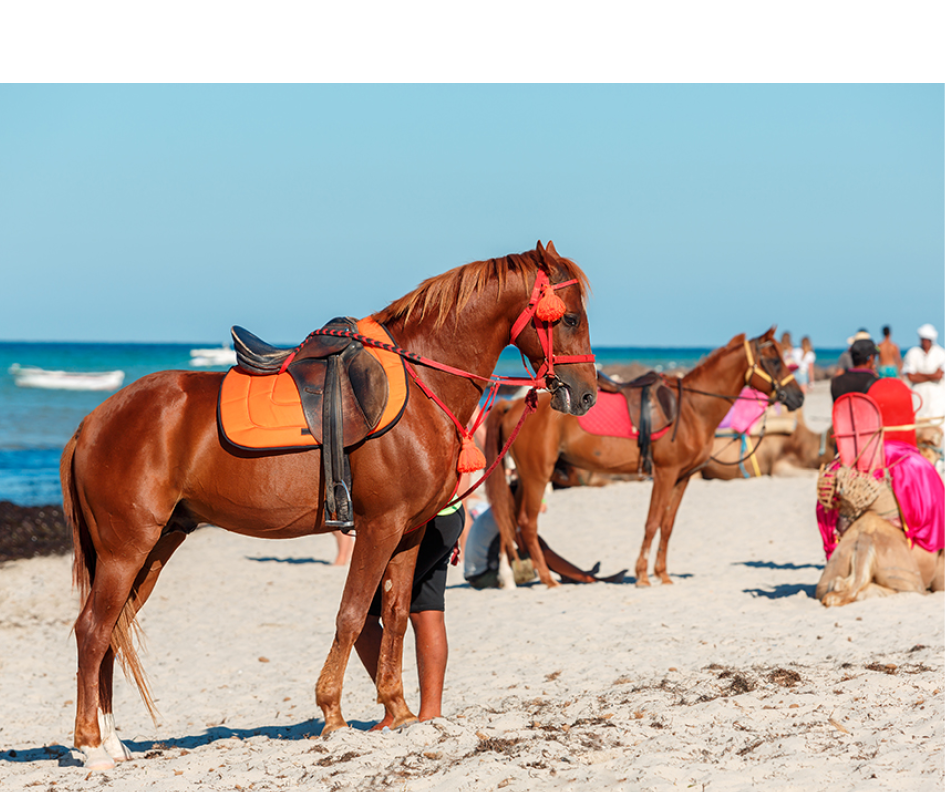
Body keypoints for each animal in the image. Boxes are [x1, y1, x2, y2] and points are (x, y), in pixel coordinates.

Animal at [60, 241, 598, 770]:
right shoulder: (380, 527)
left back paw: (111, 741)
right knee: (92, 630)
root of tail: (91, 423)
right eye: (569, 318)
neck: (420, 386)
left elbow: (395, 614)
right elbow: (353, 613)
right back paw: (90, 745)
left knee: (112, 630)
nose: (586, 395)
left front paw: (400, 712)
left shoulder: (408, 532)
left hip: (154, 548)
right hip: (126, 550)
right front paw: (333, 714)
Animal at [483, 328, 804, 588]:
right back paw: (547, 579)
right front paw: (642, 575)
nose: (798, 397)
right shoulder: (664, 473)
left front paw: (662, 573)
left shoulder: (683, 478)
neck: (691, 410)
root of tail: (513, 405)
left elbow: (667, 525)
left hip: (525, 477)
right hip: (537, 475)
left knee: (509, 519)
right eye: (775, 361)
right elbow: (652, 522)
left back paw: (512, 577)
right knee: (527, 523)